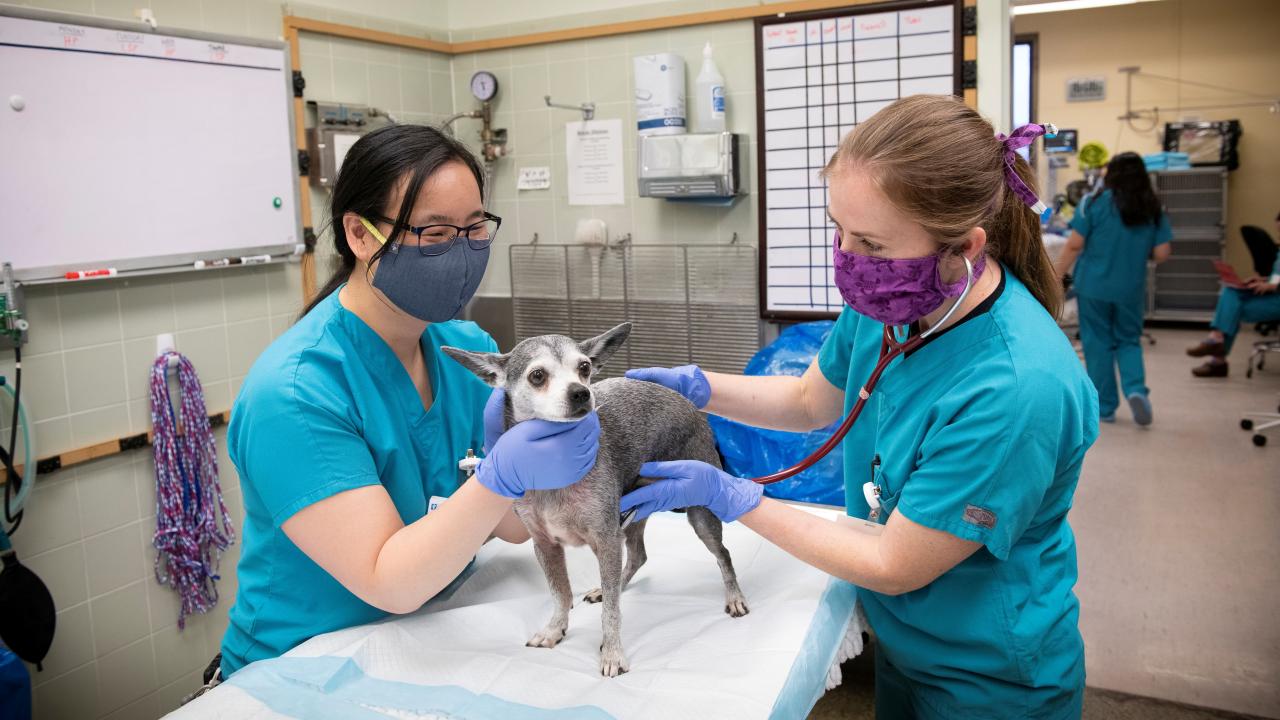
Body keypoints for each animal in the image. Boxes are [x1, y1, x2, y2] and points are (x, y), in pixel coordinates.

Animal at [445, 322, 747, 676]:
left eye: (584, 368)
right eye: (537, 376)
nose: (581, 392)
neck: (556, 464)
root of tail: (688, 403)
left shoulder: (605, 538)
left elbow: (612, 612)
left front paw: (612, 652)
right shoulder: (546, 544)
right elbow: (560, 593)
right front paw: (555, 629)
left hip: (698, 509)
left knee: (723, 553)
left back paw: (734, 596)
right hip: (630, 515)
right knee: (638, 556)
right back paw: (606, 587)